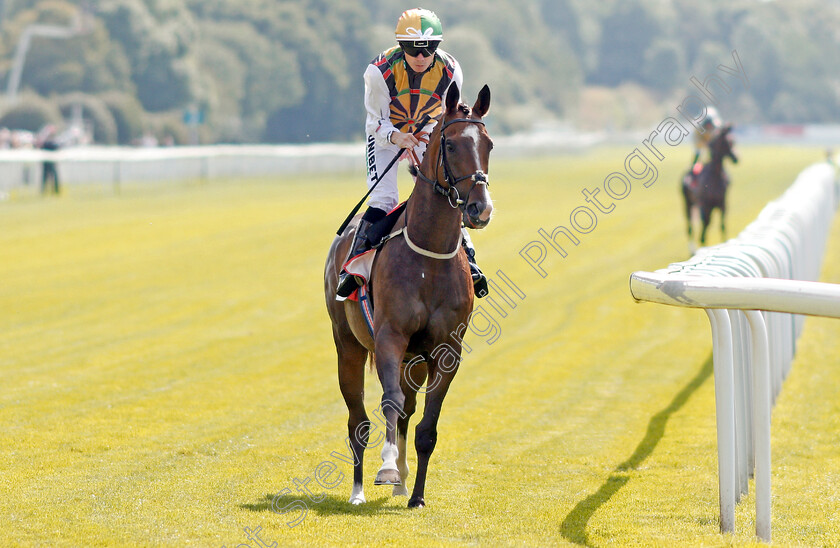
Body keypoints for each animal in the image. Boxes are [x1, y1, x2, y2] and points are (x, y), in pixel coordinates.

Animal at [322, 84, 492, 510]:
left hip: (412, 361)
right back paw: (359, 490)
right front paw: (386, 468)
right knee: (359, 419)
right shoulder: (390, 338)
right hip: (348, 345)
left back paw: (401, 483)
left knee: (406, 412)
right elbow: (390, 402)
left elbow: (426, 425)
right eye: (450, 143)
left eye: (489, 144)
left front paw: (416, 495)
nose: (480, 209)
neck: (428, 255)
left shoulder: (446, 350)